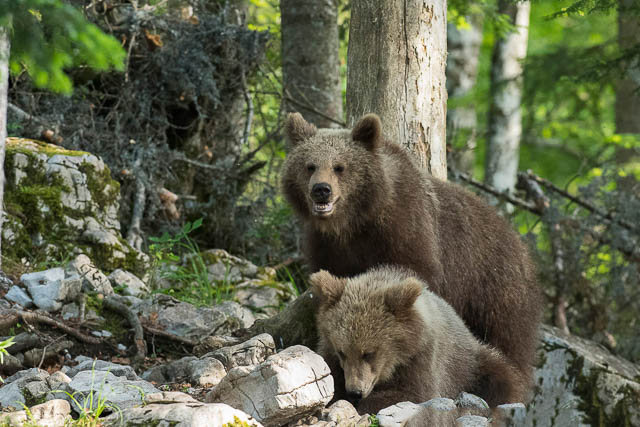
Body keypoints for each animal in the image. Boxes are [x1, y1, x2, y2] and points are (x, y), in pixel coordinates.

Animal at [310, 266, 525, 414]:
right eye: (342, 352)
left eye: (369, 353)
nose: (355, 391)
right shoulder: (330, 357)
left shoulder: (423, 359)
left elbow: (413, 394)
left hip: (472, 363)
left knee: (502, 375)